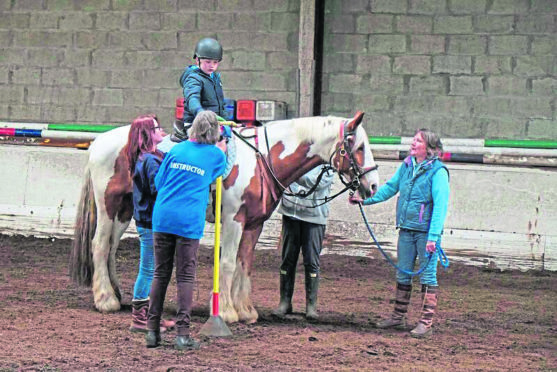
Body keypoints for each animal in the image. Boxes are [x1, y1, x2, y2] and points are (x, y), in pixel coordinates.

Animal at [68, 112, 378, 324]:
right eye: (360, 147)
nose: (373, 186)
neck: (262, 159)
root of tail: (99, 142)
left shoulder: (253, 224)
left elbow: (245, 264)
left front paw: (245, 310)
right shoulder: (233, 221)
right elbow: (228, 262)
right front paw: (227, 312)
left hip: (125, 210)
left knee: (111, 248)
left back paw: (118, 294)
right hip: (108, 205)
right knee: (99, 245)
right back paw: (105, 300)